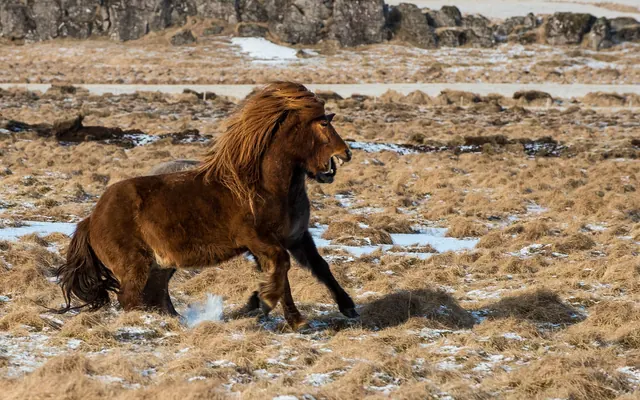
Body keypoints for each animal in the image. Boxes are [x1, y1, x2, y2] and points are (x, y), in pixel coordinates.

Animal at [56, 82, 357, 330]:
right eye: (323, 124)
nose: (346, 154)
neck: (265, 186)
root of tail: (90, 219)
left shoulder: (296, 237)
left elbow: (318, 267)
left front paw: (343, 308)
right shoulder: (259, 240)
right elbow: (282, 268)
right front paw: (262, 302)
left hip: (160, 267)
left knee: (156, 296)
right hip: (135, 266)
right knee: (130, 299)